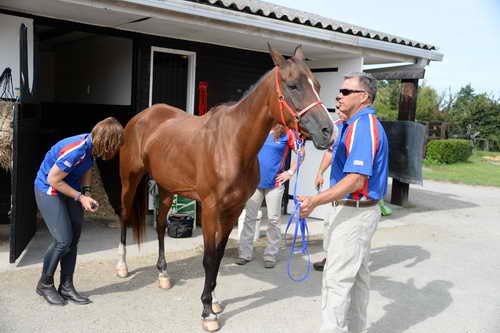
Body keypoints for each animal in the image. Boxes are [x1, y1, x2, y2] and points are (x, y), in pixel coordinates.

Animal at [112, 45, 332, 330]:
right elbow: (208, 257)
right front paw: (207, 312)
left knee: (160, 225)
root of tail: (142, 118)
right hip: (131, 179)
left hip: (167, 187)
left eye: (317, 85)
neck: (232, 143)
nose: (328, 131)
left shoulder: (232, 210)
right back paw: (122, 266)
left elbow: (217, 256)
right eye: (293, 85)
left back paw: (163, 274)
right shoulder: (210, 209)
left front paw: (214, 300)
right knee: (125, 215)